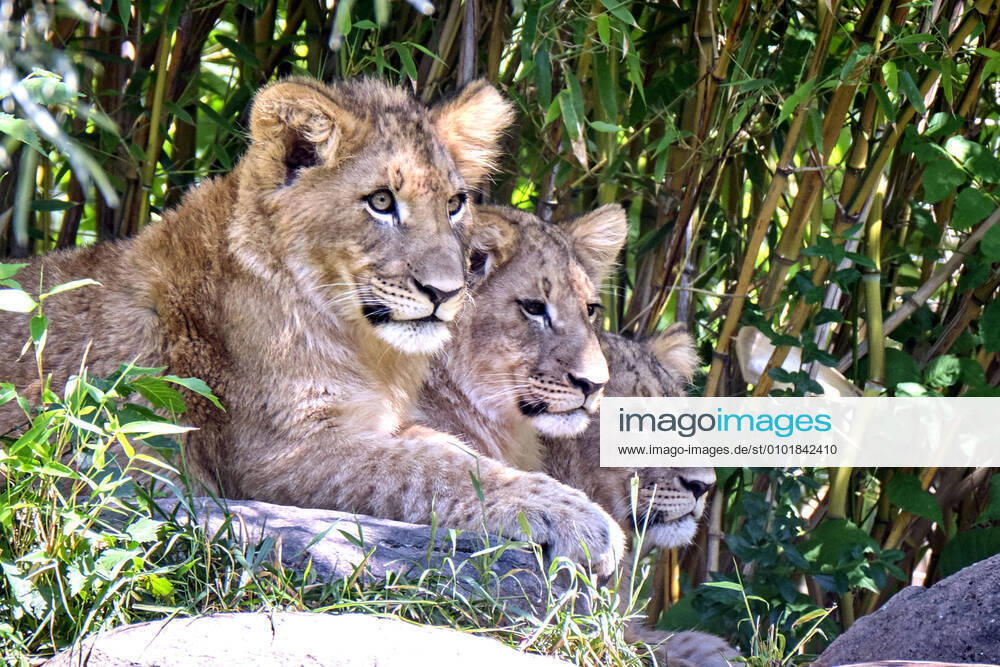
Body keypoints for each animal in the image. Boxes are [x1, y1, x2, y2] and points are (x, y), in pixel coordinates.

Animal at [0, 77, 622, 575]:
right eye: (380, 201)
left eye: (454, 205)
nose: (446, 293)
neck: (363, 345)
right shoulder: (271, 459)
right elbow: (428, 471)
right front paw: (576, 518)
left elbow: (454, 455)